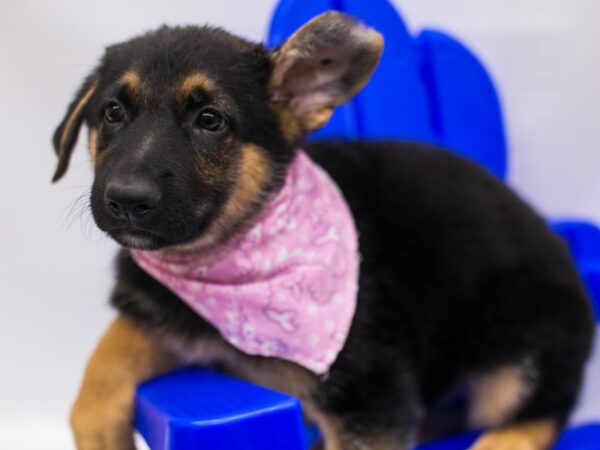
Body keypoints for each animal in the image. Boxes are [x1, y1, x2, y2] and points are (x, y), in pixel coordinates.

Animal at [52, 10, 596, 450]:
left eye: (210, 120)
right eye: (112, 112)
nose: (126, 200)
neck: (227, 252)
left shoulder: (372, 397)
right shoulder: (161, 317)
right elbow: (105, 358)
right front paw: (98, 427)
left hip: (524, 344)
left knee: (541, 410)